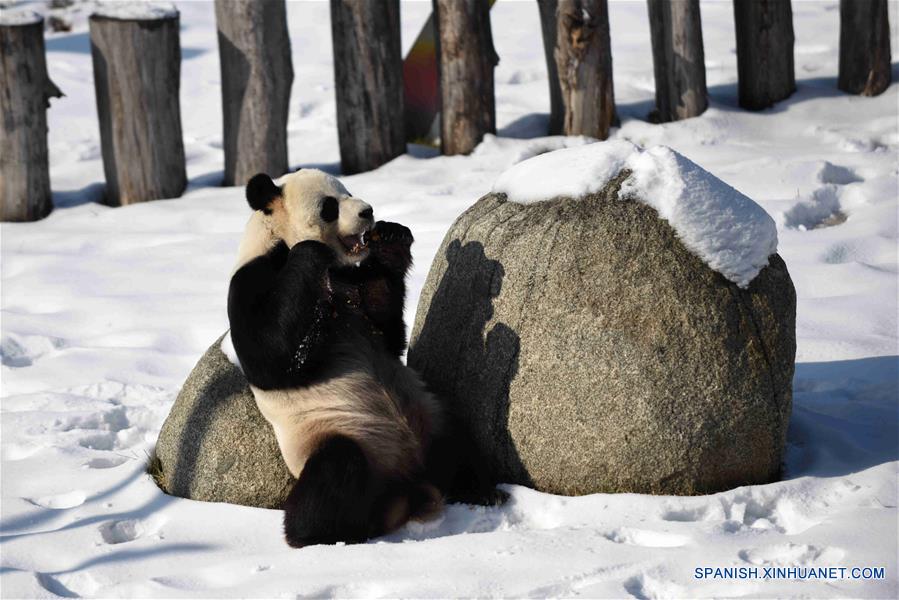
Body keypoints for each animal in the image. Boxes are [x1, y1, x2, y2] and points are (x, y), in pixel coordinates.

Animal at [227, 169, 506, 548]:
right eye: (329, 206)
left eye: (349, 192)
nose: (367, 211)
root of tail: (406, 483)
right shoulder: (252, 280)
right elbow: (270, 356)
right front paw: (310, 250)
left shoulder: (351, 285)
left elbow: (384, 328)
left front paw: (390, 237)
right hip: (339, 431)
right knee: (335, 474)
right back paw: (330, 532)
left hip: (429, 413)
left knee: (457, 443)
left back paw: (482, 491)